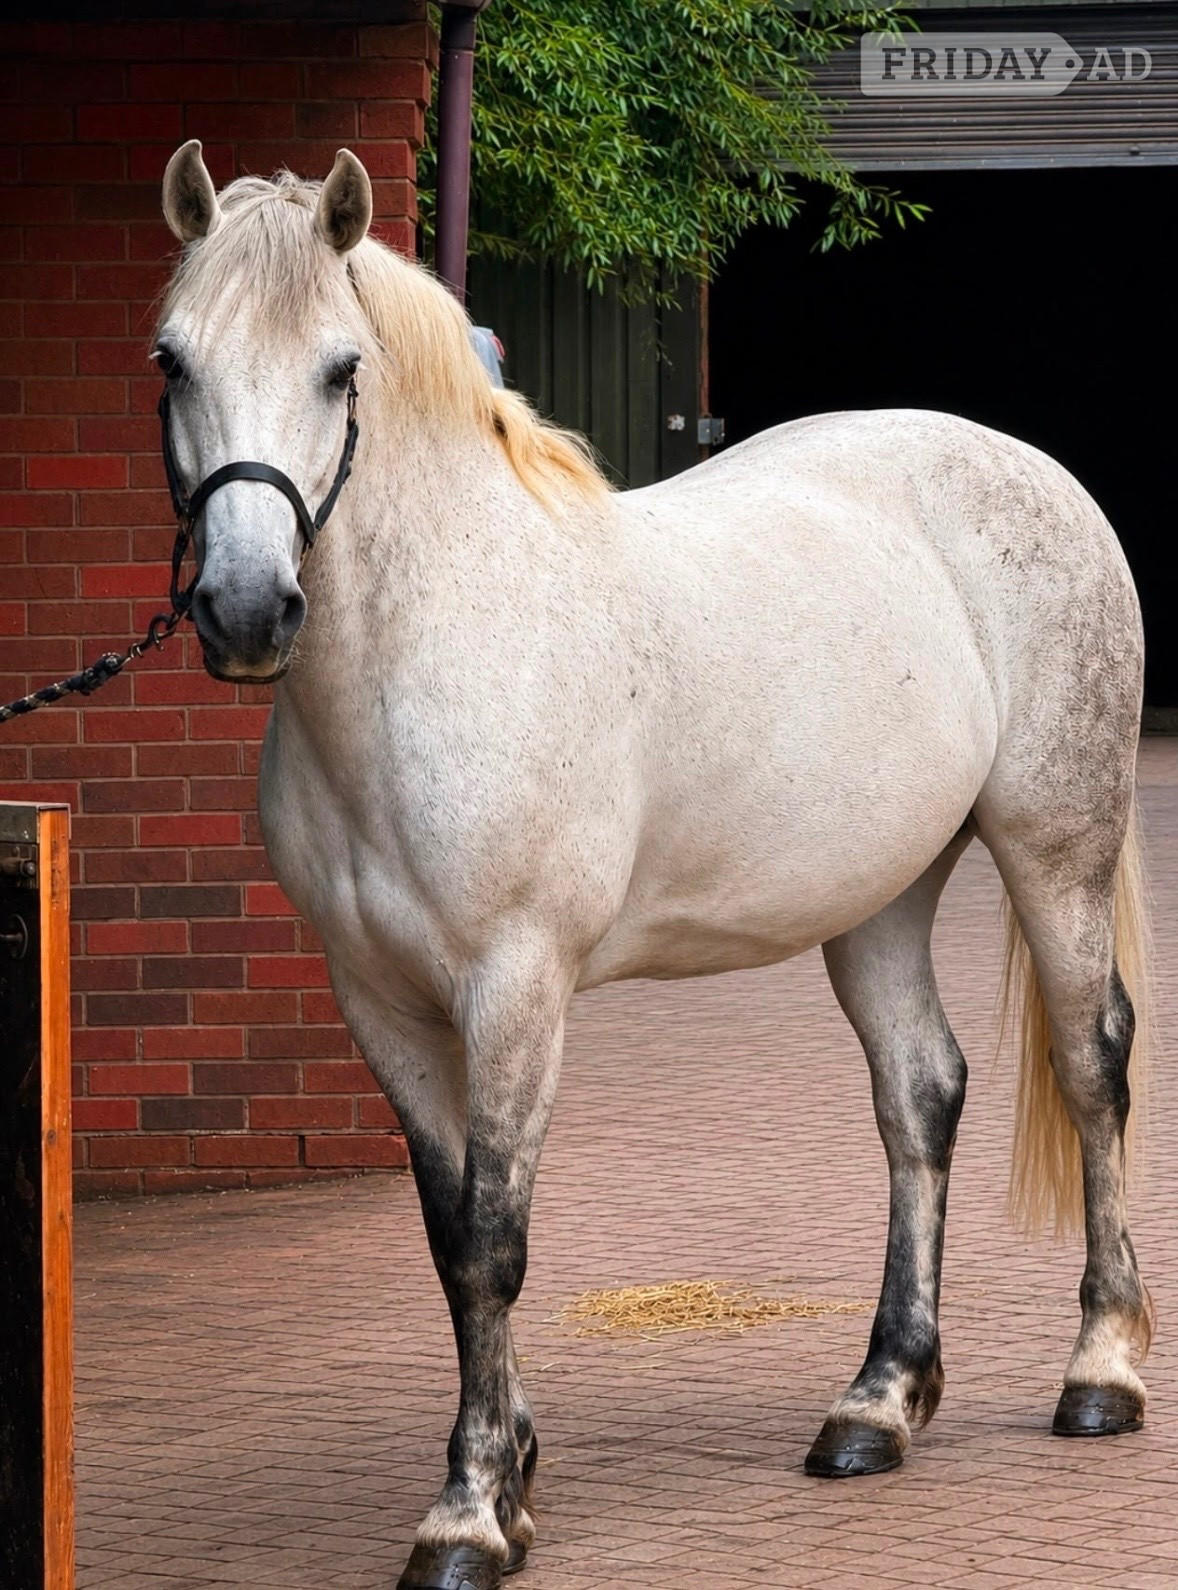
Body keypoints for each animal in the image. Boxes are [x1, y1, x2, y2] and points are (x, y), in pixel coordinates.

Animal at [155, 140, 1153, 1590]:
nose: (243, 610)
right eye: (171, 359)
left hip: (1055, 851)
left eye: (340, 369)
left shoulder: (515, 990)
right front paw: (510, 1474)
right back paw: (876, 1402)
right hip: (878, 896)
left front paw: (469, 1514)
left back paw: (1101, 1370)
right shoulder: (379, 1003)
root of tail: (1034, 472)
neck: (440, 644)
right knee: (919, 1096)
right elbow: (446, 1237)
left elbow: (495, 1243)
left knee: (1089, 1072)